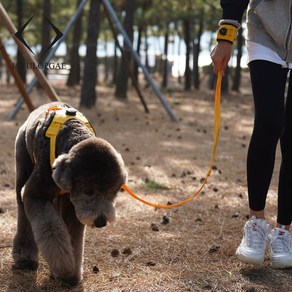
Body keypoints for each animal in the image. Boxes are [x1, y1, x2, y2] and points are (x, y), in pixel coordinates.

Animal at [12, 102, 126, 286]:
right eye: (88, 191)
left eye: (111, 192)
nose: (101, 222)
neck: (73, 134)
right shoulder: (35, 194)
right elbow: (51, 229)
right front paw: (63, 265)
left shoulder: (73, 206)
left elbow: (73, 237)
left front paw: (70, 276)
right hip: (23, 161)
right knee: (23, 213)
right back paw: (25, 258)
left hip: (62, 198)